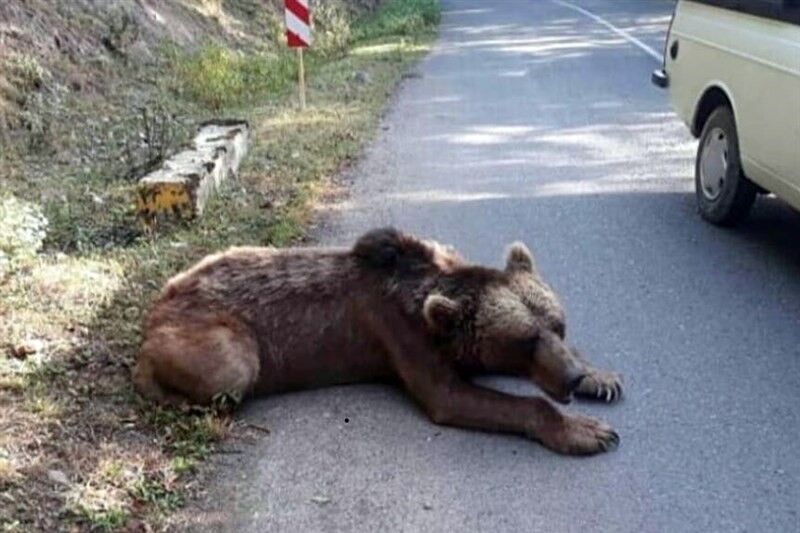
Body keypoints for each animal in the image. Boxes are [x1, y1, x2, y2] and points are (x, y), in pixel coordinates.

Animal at [134, 227, 624, 456]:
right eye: (524, 341)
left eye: (559, 326)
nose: (570, 376)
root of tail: (158, 303)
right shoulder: (398, 333)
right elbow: (452, 396)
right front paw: (585, 431)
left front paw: (601, 377)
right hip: (205, 329)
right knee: (232, 367)